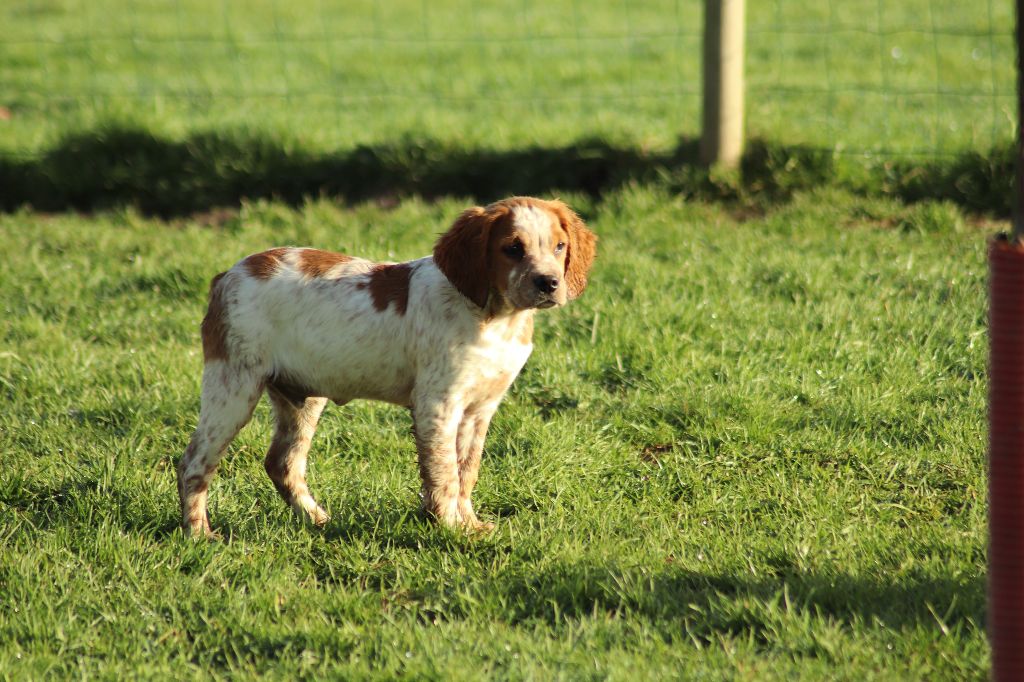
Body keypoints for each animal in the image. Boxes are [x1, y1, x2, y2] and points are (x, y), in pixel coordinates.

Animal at [173, 193, 598, 532]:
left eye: (560, 246)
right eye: (512, 248)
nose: (549, 283)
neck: (494, 317)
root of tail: (227, 275)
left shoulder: (480, 409)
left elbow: (466, 470)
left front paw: (471, 524)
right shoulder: (438, 404)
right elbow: (444, 472)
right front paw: (451, 529)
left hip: (301, 397)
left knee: (282, 463)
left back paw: (317, 520)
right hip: (233, 386)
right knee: (194, 462)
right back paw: (199, 535)